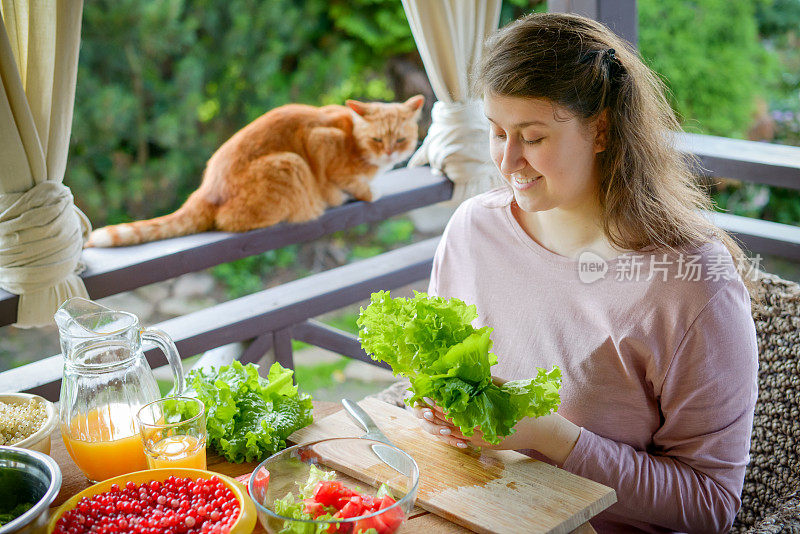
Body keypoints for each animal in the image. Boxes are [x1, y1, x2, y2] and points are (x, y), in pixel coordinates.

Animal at [86, 95, 424, 248]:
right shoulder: (319, 140)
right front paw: (365, 191)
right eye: (377, 140)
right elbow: (351, 183)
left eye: (401, 140)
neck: (352, 138)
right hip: (291, 163)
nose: (391, 152)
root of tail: (204, 190)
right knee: (230, 221)